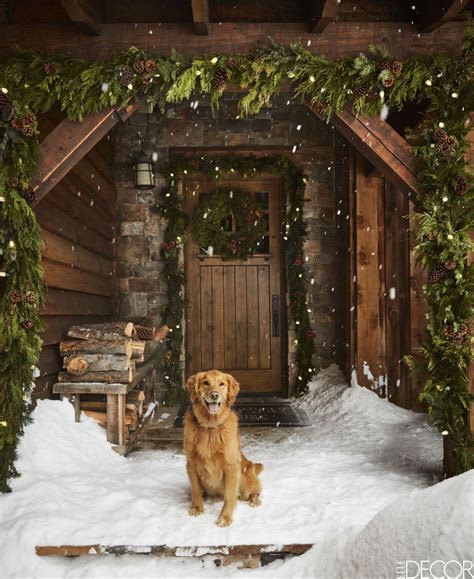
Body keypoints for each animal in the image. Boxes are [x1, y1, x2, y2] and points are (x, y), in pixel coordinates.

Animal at [183, 370, 262, 528]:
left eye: (221, 384)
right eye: (206, 383)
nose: (214, 395)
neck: (210, 427)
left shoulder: (231, 467)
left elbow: (229, 496)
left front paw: (225, 517)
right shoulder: (191, 464)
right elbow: (195, 489)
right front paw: (197, 508)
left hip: (245, 473)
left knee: (255, 491)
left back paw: (254, 501)